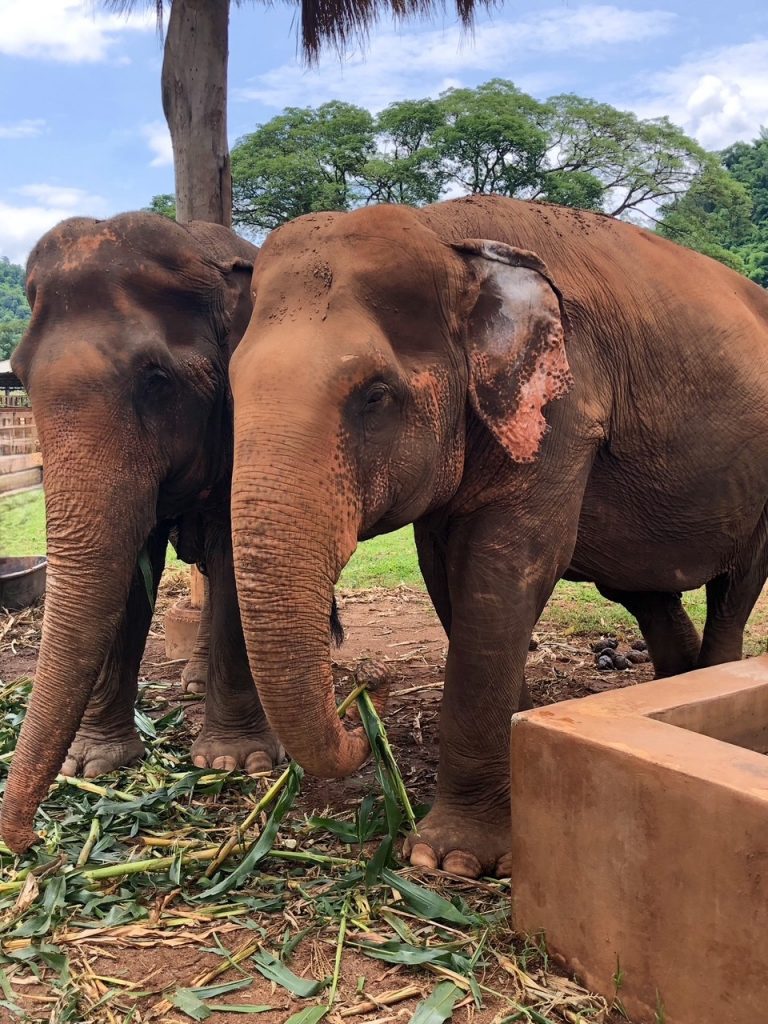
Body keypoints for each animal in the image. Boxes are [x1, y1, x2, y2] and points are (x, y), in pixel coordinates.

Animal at [1, 213, 285, 855]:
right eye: (20, 375)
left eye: (157, 379)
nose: (25, 843)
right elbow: (131, 570)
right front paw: (91, 765)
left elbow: (235, 557)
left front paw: (234, 763)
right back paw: (193, 682)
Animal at [225, 194, 768, 879]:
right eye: (232, 389)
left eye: (375, 396)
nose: (366, 701)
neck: (446, 237)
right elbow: (446, 578)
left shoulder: (567, 404)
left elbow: (504, 568)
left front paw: (449, 859)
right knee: (645, 590)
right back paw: (670, 683)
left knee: (737, 587)